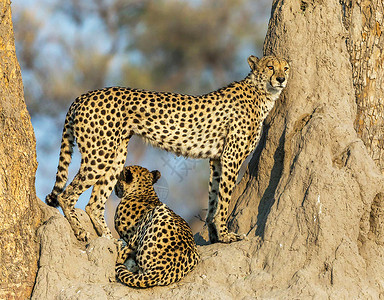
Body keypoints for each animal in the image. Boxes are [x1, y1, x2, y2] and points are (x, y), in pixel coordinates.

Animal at [45, 55, 288, 244]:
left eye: (285, 67)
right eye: (270, 66)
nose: (281, 79)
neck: (261, 93)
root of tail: (83, 95)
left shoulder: (218, 159)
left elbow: (213, 198)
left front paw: (214, 236)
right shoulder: (231, 157)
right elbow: (224, 199)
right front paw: (226, 236)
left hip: (115, 155)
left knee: (94, 203)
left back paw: (108, 240)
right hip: (100, 154)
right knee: (66, 195)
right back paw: (81, 233)